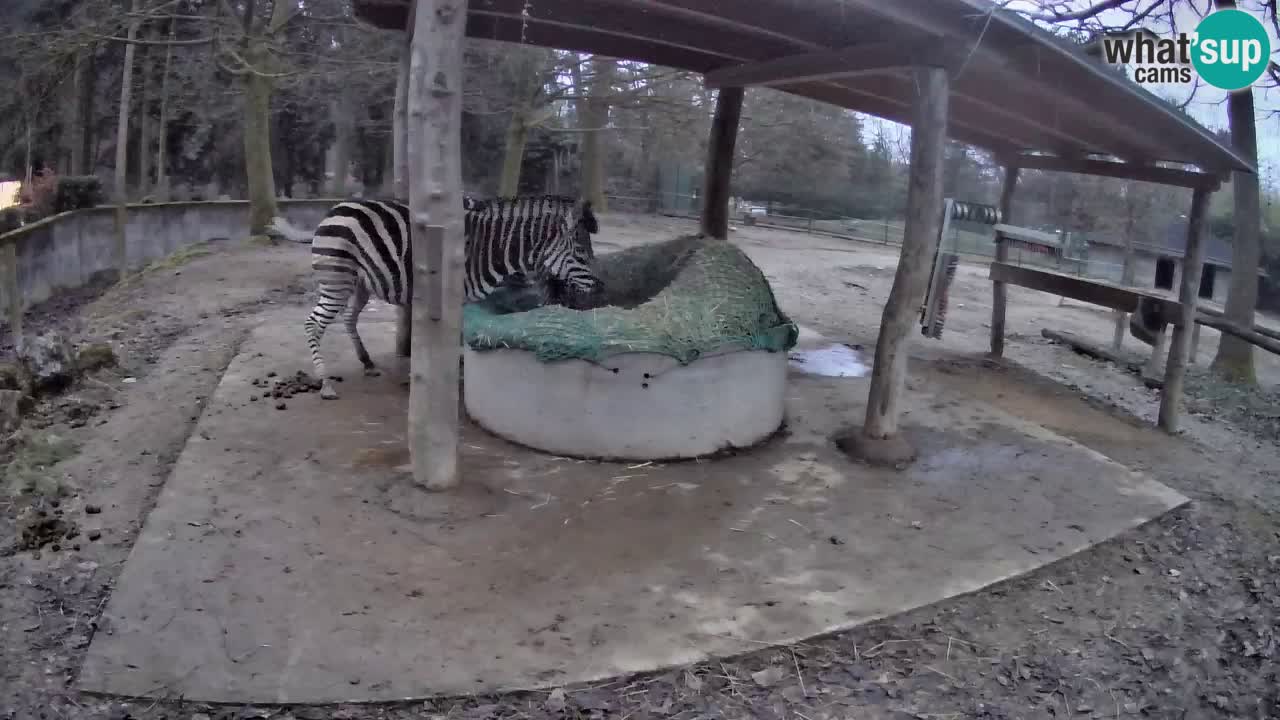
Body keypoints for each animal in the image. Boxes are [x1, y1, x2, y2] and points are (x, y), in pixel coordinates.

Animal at [269, 194, 601, 400]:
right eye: (580, 252)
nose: (598, 289)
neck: (487, 249)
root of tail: (333, 210)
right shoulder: (458, 294)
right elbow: (458, 335)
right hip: (336, 280)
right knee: (314, 324)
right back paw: (325, 383)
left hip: (361, 283)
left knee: (349, 318)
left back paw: (367, 362)